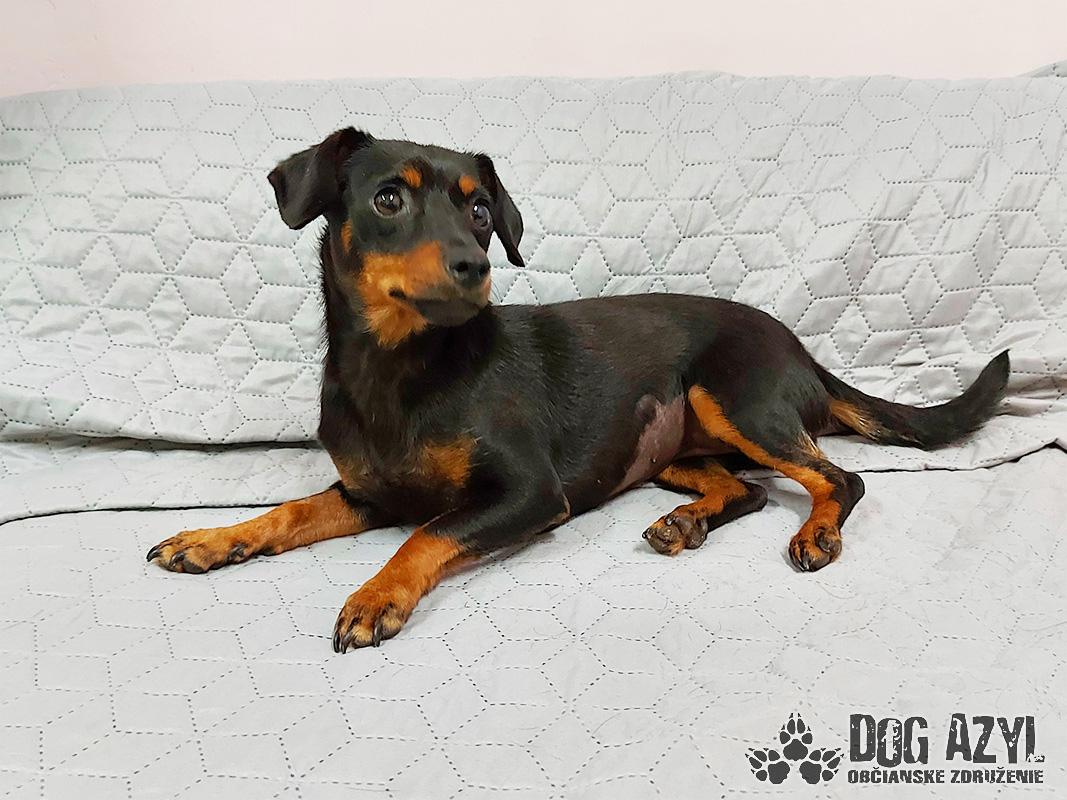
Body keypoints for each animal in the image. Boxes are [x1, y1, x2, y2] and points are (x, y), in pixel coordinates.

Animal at [147, 129, 1010, 652]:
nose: (474, 265)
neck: (401, 370)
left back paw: (815, 532)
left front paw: (375, 596)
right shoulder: (368, 494)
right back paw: (685, 523)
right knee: (747, 489)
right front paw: (213, 538)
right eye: (387, 198)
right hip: (666, 444)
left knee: (838, 478)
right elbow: (292, 512)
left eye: (480, 208)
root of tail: (801, 348)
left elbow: (424, 535)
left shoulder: (529, 494)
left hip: (732, 397)